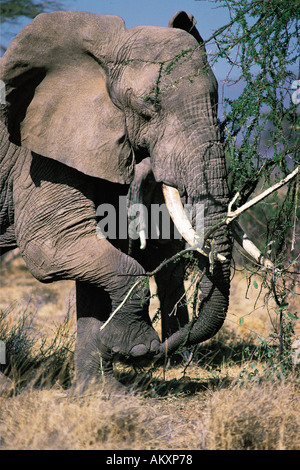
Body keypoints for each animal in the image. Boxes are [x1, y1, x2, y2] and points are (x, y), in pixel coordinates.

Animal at [0, 11, 268, 392]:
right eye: (149, 106)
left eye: (215, 101)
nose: (158, 352)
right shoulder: (39, 156)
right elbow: (53, 249)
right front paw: (137, 346)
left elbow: (99, 253)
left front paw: (103, 394)